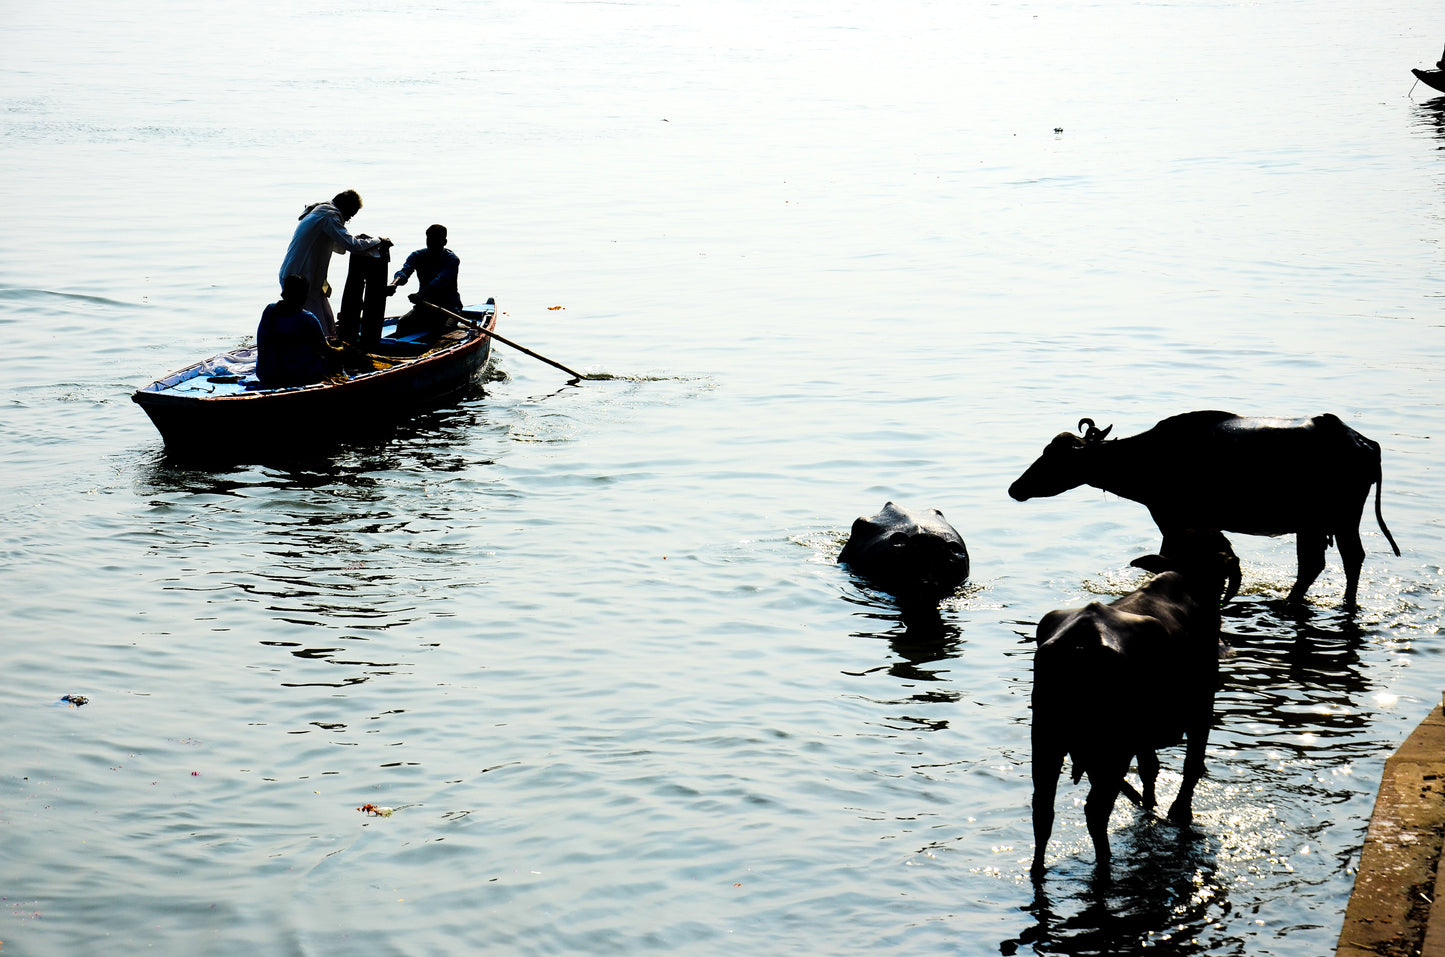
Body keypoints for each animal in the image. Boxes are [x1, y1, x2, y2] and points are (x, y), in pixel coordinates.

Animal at [1005, 410, 1398, 607]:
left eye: (1054, 456)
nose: (1015, 488)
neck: (1145, 457)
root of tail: (1362, 441)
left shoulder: (1172, 519)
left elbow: (1167, 558)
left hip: (1336, 520)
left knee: (1344, 559)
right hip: (1318, 524)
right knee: (1319, 564)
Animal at [1028, 531, 1242, 878]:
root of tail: (1081, 641)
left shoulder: (1142, 739)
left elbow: (1149, 768)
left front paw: (1150, 805)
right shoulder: (1202, 708)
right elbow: (1192, 765)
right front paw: (1179, 812)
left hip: (1047, 739)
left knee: (1043, 809)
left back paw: (1039, 868)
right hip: (1111, 747)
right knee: (1095, 810)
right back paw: (1105, 865)